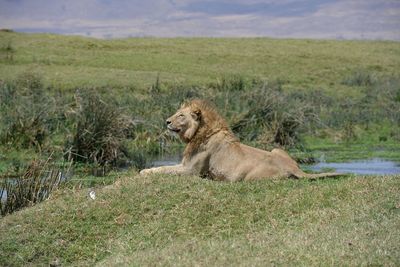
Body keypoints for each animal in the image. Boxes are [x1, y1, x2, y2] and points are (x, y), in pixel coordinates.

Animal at [140, 100, 340, 182]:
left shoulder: (191, 171)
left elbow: (164, 170)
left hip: (247, 177)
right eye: (176, 113)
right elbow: (163, 167)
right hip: (276, 149)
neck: (199, 132)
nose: (167, 121)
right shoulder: (186, 166)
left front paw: (143, 172)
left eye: (181, 115)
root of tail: (295, 168)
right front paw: (145, 170)